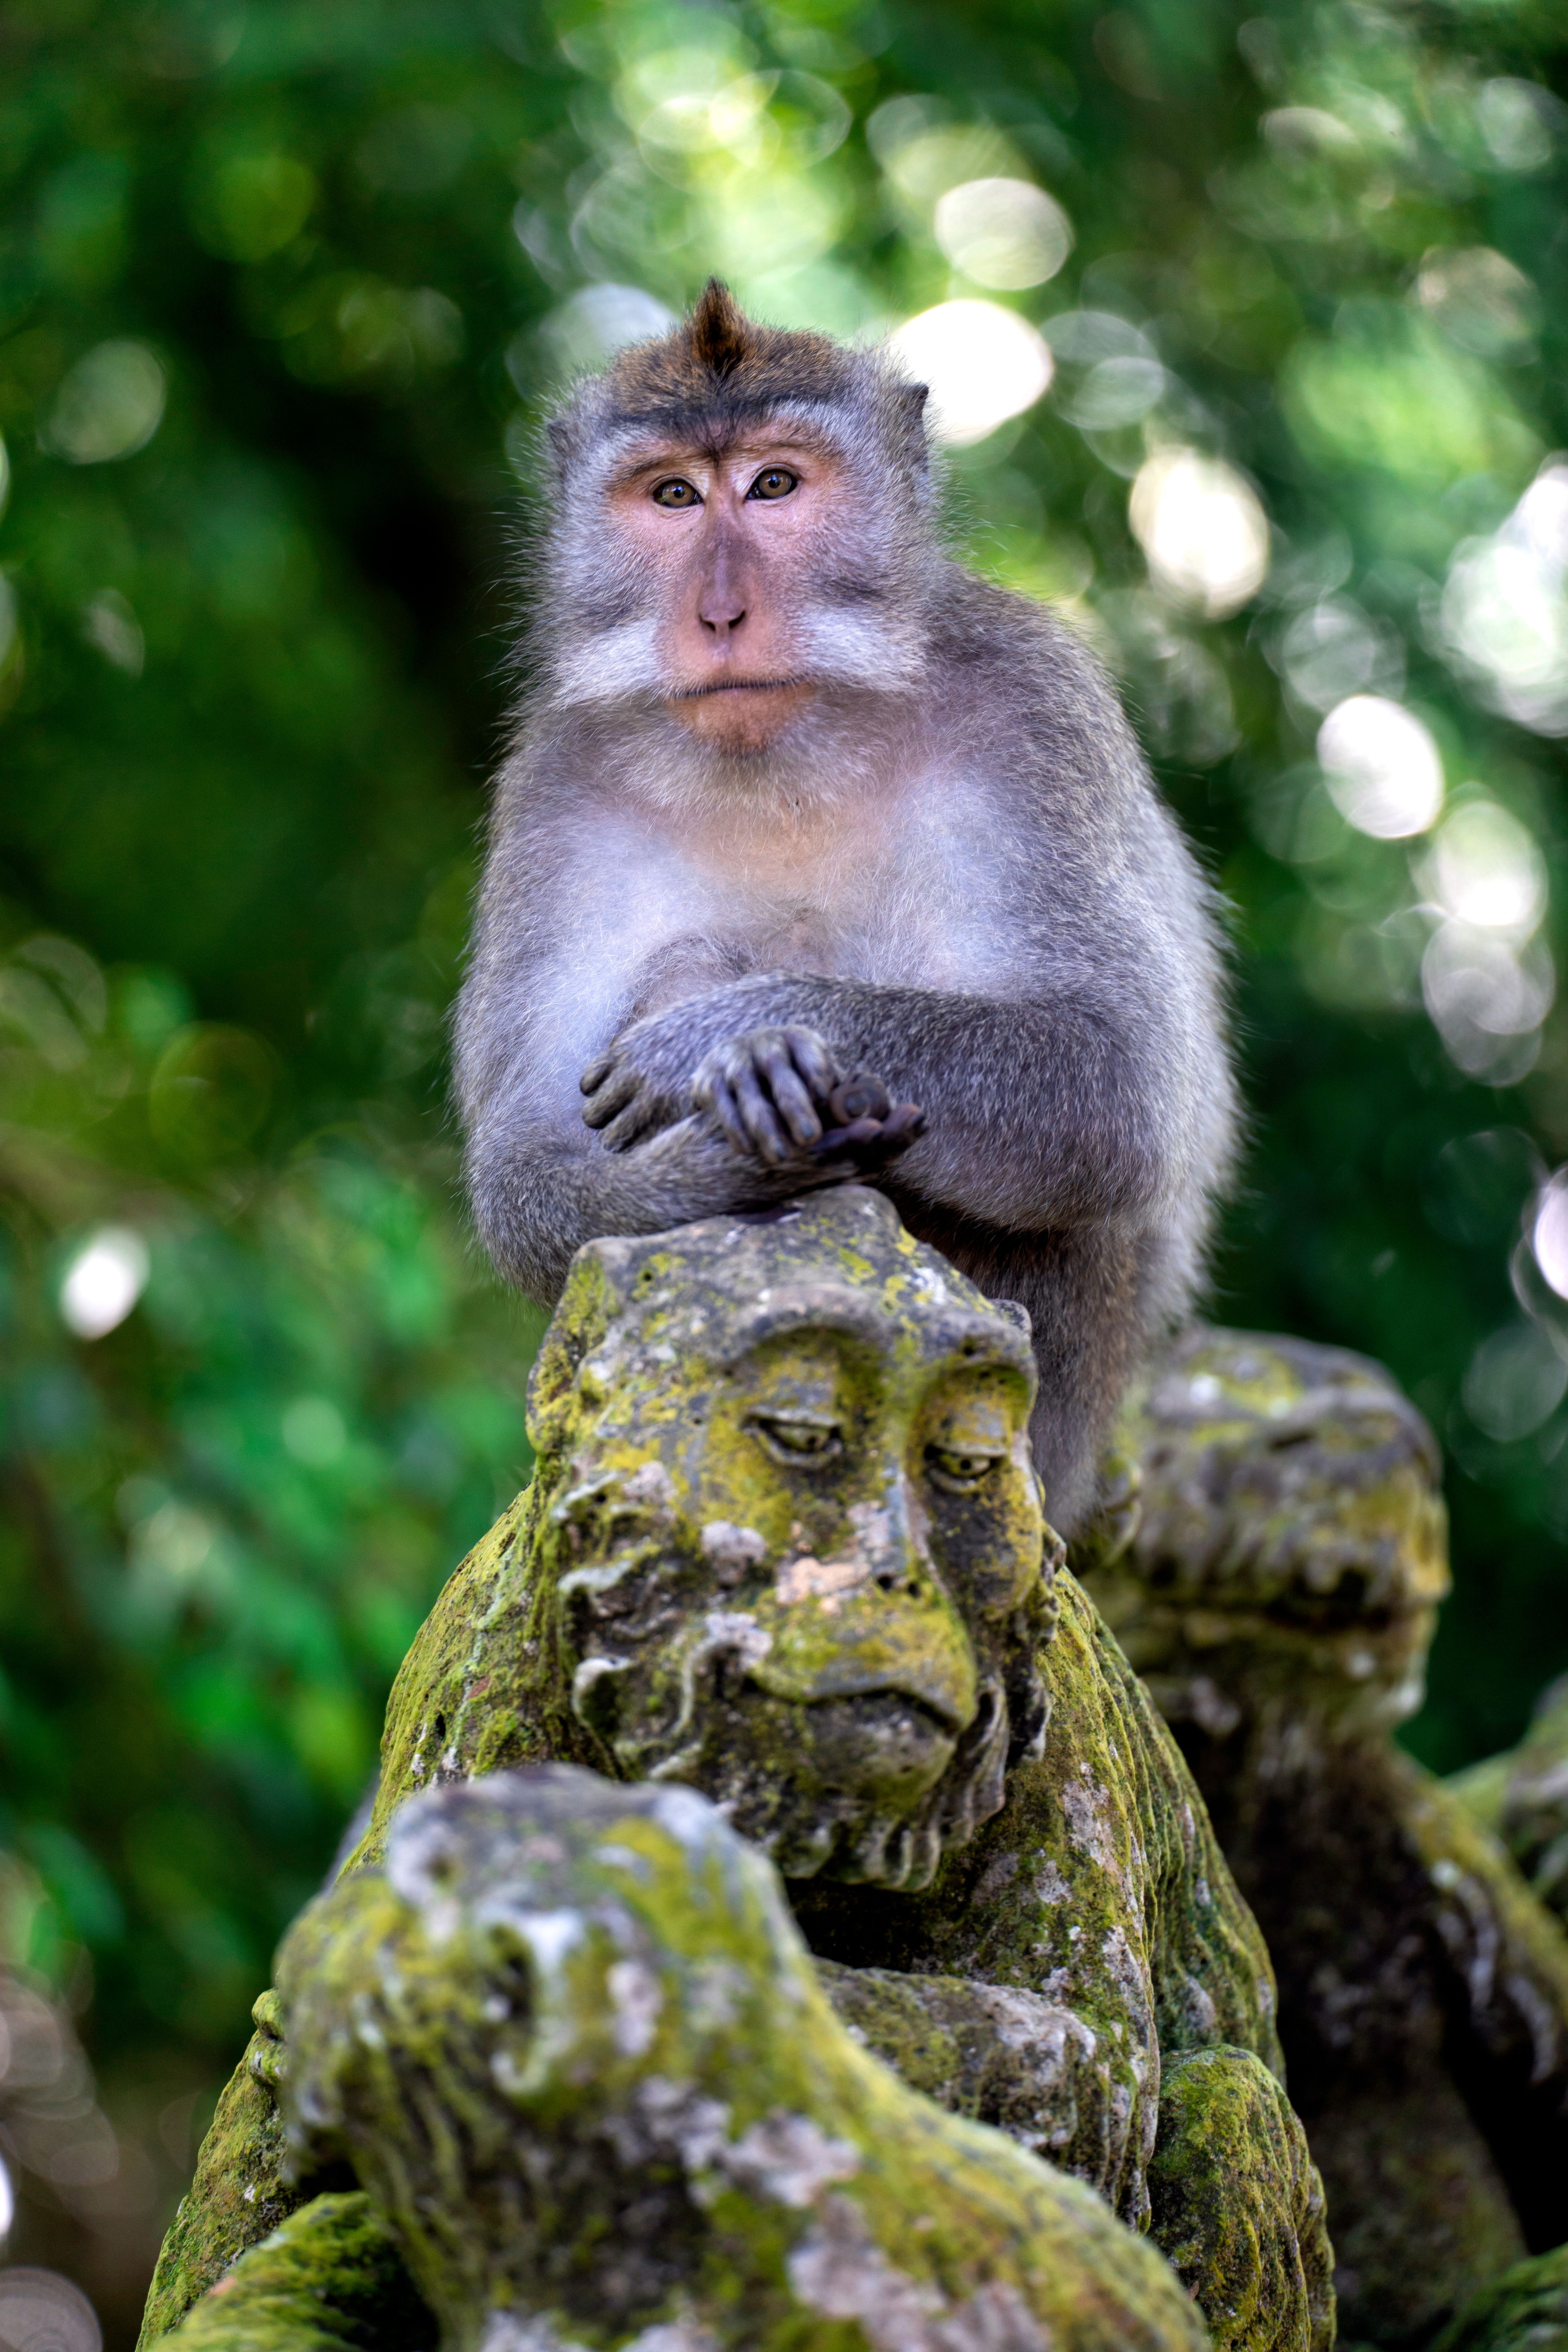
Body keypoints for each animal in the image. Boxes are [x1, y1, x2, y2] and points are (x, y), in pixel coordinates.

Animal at [456, 281, 1235, 1533]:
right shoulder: (555, 786)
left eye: (774, 485)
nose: (720, 613)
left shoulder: (1034, 706)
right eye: (672, 495)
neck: (787, 752)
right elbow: (523, 1157)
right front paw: (716, 1166)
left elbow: (1115, 1082)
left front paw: (737, 1044)